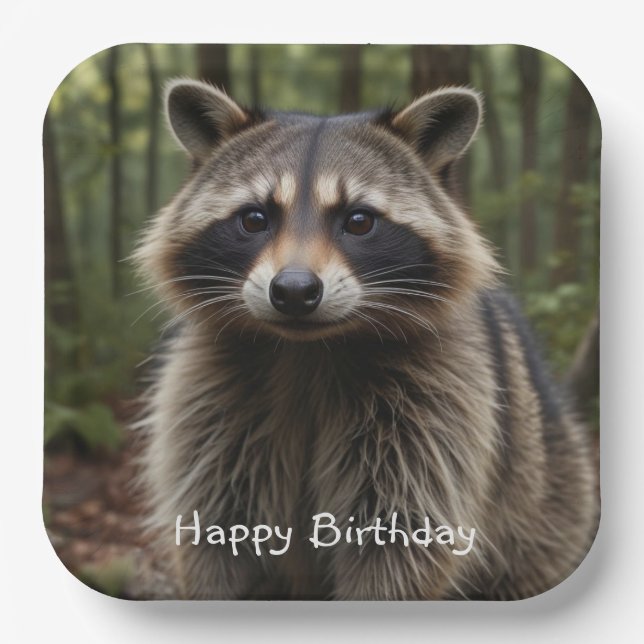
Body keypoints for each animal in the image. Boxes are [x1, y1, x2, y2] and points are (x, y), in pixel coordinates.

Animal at [134, 79, 598, 600]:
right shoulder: (209, 400)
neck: (307, 349)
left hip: (547, 491)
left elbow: (401, 542)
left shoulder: (439, 406)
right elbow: (216, 532)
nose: (294, 292)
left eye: (358, 220)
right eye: (254, 219)